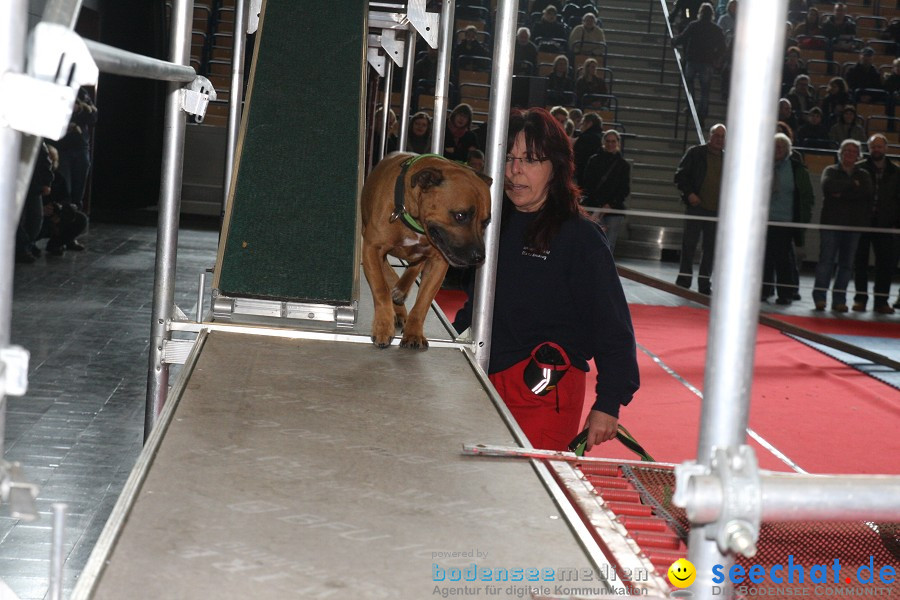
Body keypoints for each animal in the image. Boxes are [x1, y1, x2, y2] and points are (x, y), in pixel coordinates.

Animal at [360, 151, 492, 346]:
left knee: (413, 267)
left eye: (486, 222)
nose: (479, 257)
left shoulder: (438, 263)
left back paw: (400, 293)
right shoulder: (372, 249)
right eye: (460, 216)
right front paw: (383, 326)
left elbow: (423, 301)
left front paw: (414, 333)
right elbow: (381, 289)